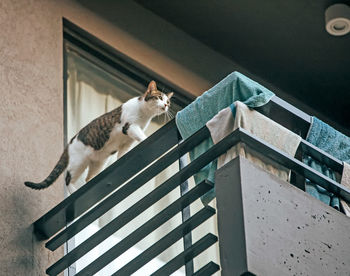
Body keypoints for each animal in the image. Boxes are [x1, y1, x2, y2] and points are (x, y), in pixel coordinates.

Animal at [24, 80, 174, 194]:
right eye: (159, 98)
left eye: (168, 102)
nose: (166, 105)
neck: (145, 115)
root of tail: (69, 143)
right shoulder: (129, 126)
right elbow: (142, 136)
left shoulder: (127, 142)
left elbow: (122, 154)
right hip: (79, 162)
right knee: (67, 178)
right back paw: (73, 190)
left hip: (98, 163)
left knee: (87, 178)